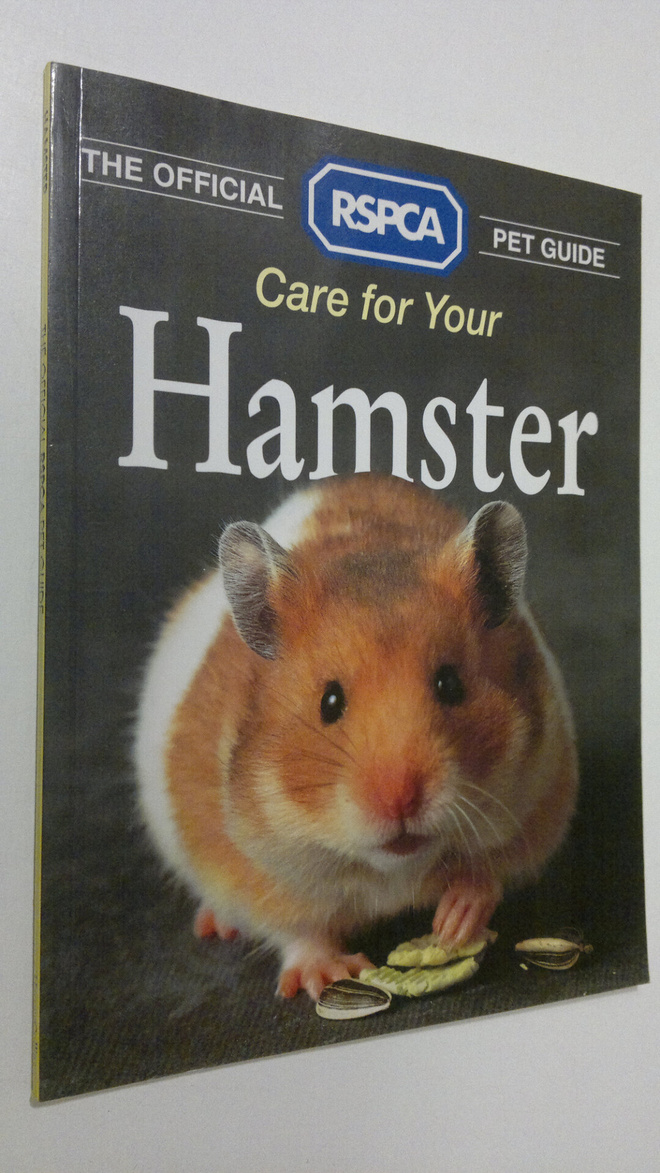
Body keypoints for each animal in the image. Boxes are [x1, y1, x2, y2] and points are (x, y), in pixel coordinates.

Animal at [135, 474, 578, 1001]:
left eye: (450, 684)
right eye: (329, 702)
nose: (400, 801)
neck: (392, 867)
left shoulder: (541, 794)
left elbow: (489, 871)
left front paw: (454, 924)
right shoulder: (243, 865)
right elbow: (297, 929)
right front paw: (329, 976)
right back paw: (216, 925)